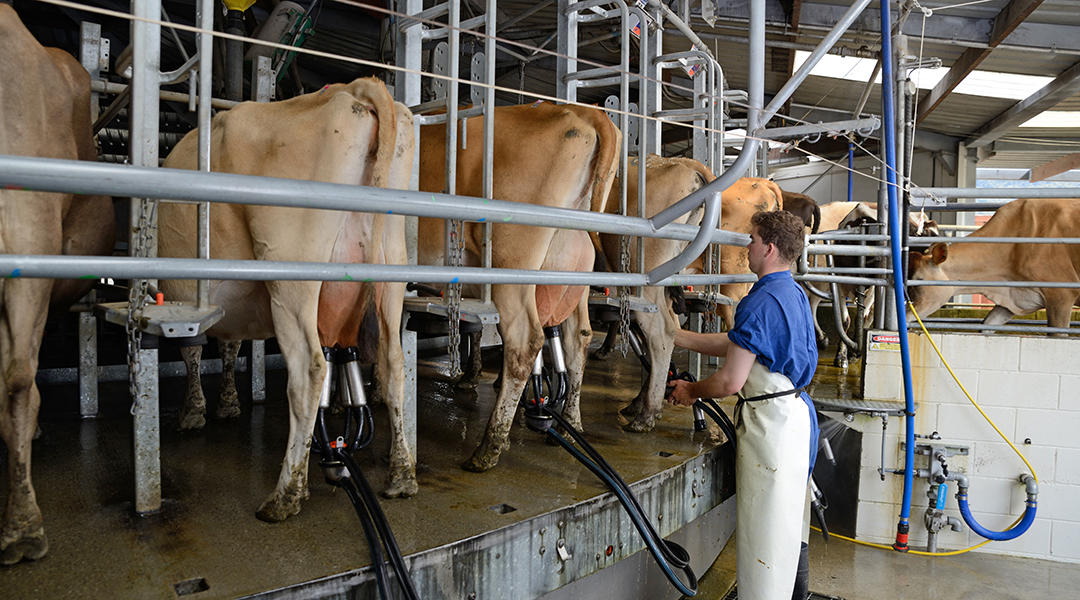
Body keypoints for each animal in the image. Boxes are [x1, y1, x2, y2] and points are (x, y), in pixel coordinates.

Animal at [158, 77, 417, 524]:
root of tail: (355, 88)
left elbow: (192, 351)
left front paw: (193, 411)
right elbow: (228, 346)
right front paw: (225, 404)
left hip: (290, 272)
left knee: (309, 370)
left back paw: (286, 494)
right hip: (391, 270)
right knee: (393, 364)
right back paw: (401, 475)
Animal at [416, 101, 620, 472]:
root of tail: (582, 114)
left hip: (512, 266)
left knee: (525, 342)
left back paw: (489, 448)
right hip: (572, 271)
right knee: (578, 338)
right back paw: (569, 425)